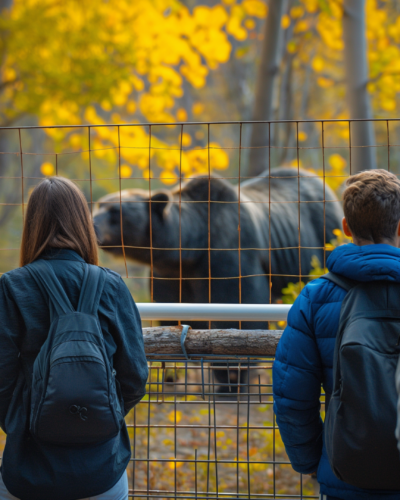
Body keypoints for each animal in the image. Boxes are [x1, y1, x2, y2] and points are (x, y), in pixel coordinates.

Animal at [93, 169, 340, 394]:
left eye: (115, 211)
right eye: (99, 205)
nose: (93, 223)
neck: (191, 251)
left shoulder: (228, 258)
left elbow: (238, 316)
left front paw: (231, 381)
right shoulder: (169, 276)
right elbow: (170, 318)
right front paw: (171, 375)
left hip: (323, 238)